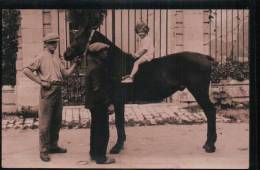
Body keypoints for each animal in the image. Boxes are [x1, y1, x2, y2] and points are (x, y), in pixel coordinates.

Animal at [63, 28, 217, 154]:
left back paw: (210, 145)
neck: (116, 63)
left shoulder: (118, 100)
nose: (65, 54)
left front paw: (117, 147)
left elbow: (119, 122)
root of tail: (205, 57)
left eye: (77, 38)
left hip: (199, 92)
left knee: (210, 111)